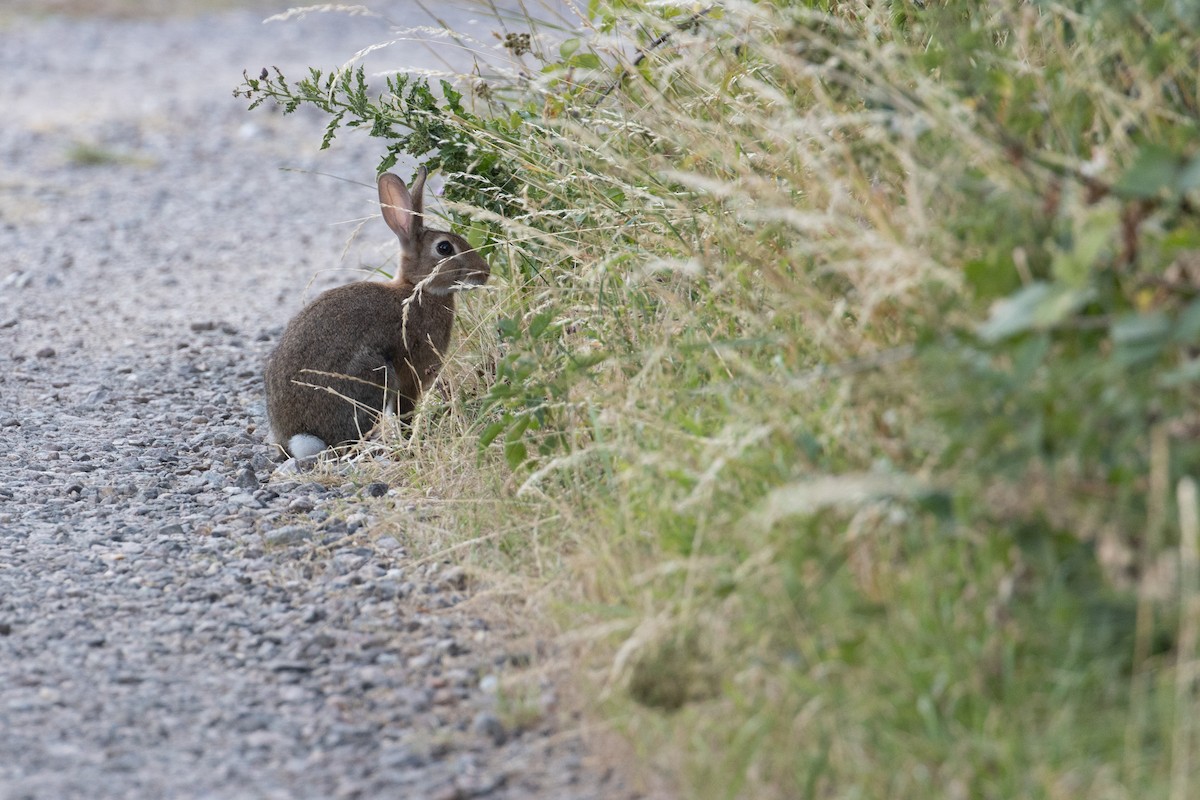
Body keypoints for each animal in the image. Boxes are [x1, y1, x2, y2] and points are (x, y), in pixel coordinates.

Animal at [264, 167, 490, 459]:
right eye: (444, 248)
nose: (485, 272)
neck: (416, 288)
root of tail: (296, 437)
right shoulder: (410, 377)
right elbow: (404, 414)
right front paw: (411, 443)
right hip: (373, 375)